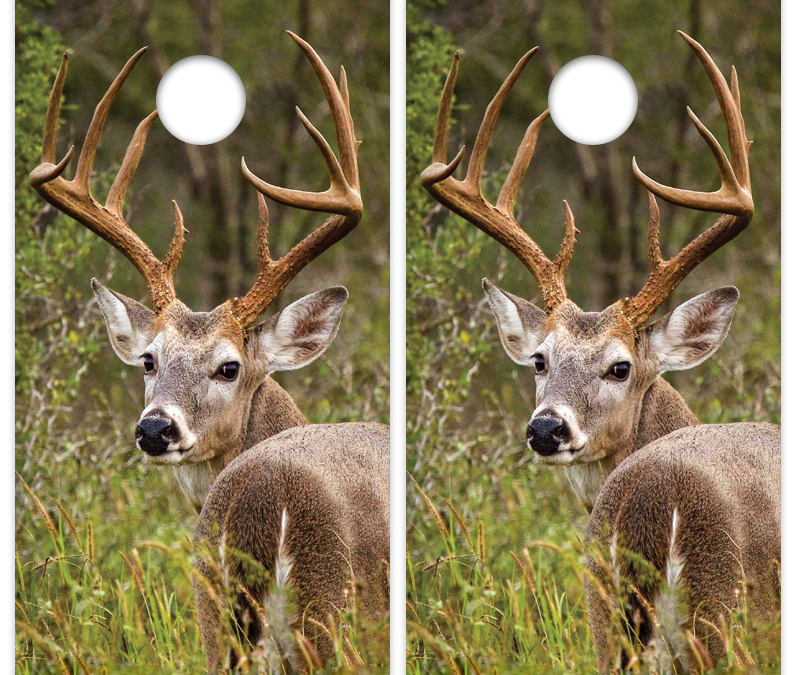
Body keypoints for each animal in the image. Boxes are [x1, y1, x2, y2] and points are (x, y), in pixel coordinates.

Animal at [29, 34, 390, 672]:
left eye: (230, 367)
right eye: (148, 360)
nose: (155, 428)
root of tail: (264, 503)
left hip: (223, 617)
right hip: (328, 614)